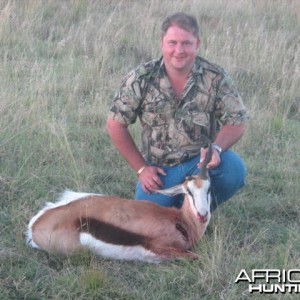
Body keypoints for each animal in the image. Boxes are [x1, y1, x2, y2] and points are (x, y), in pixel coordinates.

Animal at [26, 143, 213, 262]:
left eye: (209, 189)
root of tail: (34, 225)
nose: (202, 214)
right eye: (189, 191)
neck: (180, 221)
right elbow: (195, 257)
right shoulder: (162, 249)